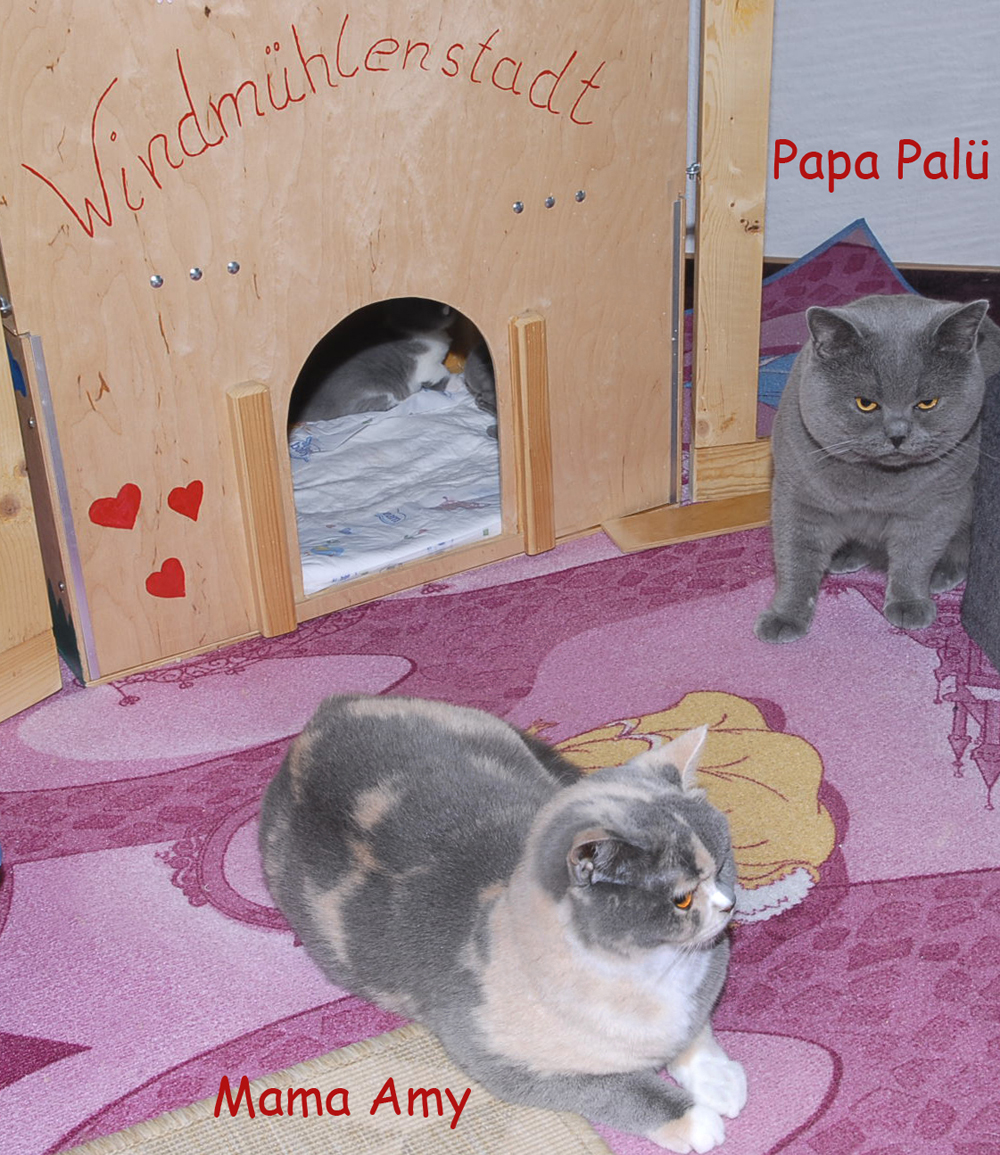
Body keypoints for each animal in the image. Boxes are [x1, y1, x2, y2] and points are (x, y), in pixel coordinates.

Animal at [259, 694, 745, 1153]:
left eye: (723, 864)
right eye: (682, 898)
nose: (730, 905)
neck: (655, 974)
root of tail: (325, 714)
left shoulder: (695, 1002)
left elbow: (694, 1031)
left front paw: (718, 1080)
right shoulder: (500, 1059)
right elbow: (620, 1090)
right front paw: (696, 1120)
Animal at [756, 293, 1000, 644]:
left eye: (927, 403)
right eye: (866, 403)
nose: (897, 434)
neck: (873, 487)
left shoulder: (935, 506)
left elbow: (915, 555)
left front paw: (909, 603)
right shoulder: (797, 497)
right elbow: (795, 558)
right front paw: (784, 617)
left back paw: (940, 574)